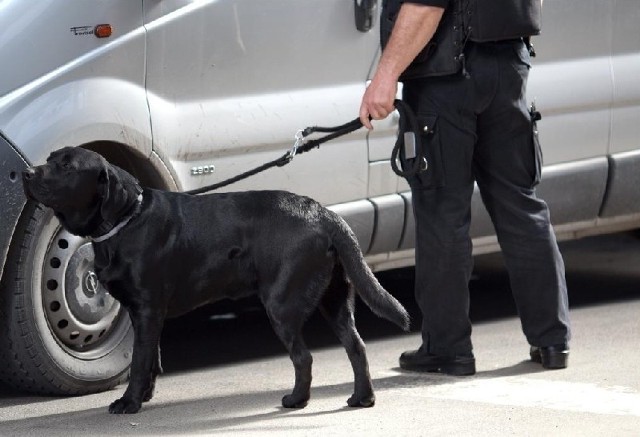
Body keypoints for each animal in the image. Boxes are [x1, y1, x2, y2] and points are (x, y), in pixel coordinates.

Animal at [22, 146, 410, 412]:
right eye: (51, 158)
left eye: (67, 166)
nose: (27, 173)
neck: (125, 219)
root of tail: (325, 214)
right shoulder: (147, 314)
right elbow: (151, 359)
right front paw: (144, 397)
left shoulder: (147, 310)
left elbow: (140, 362)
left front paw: (129, 403)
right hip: (334, 300)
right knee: (357, 348)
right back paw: (362, 398)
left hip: (282, 304)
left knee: (304, 358)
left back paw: (296, 400)